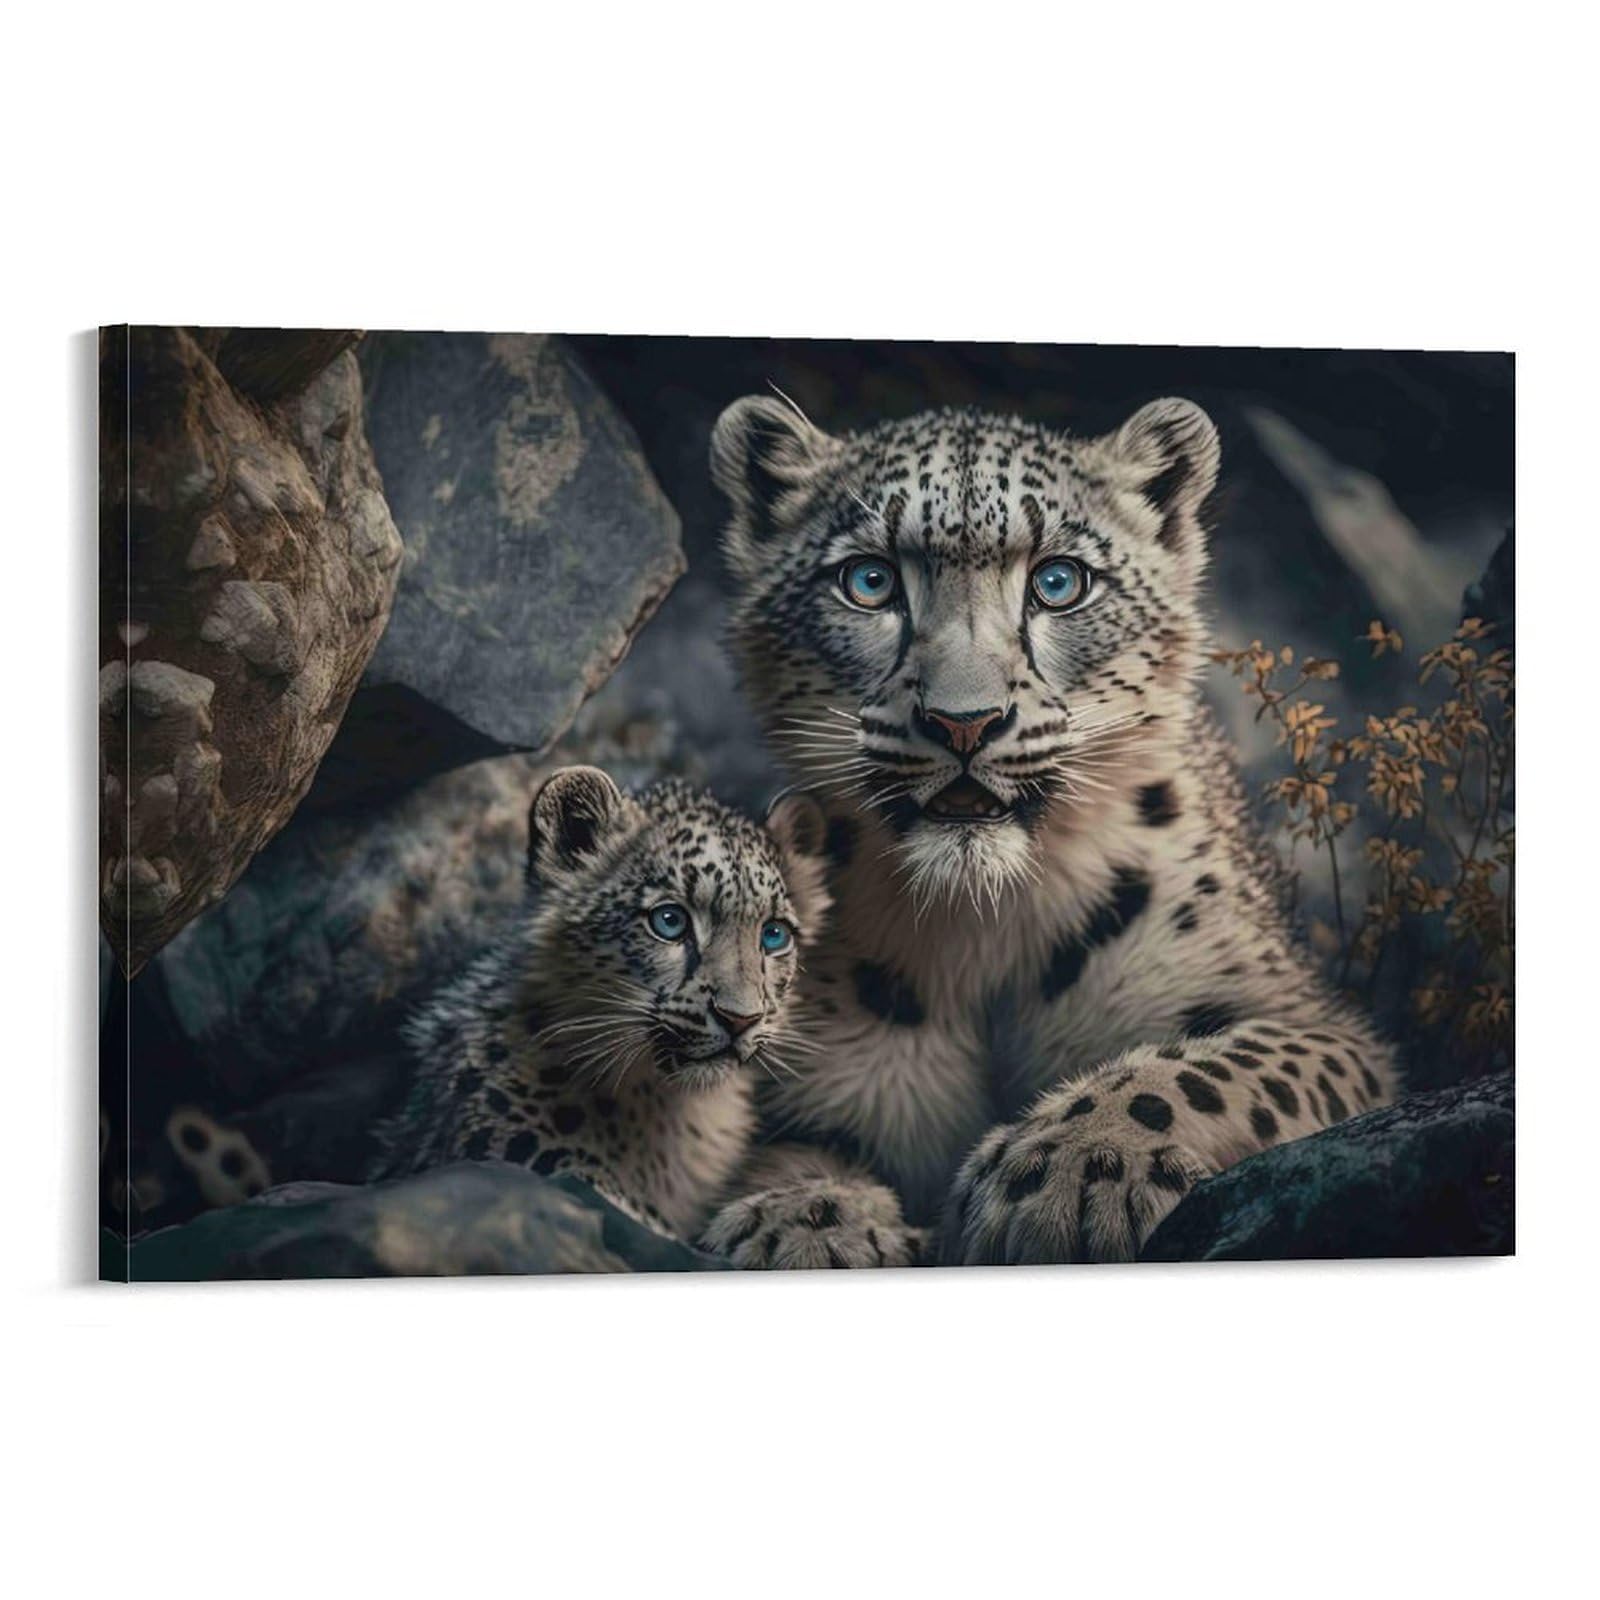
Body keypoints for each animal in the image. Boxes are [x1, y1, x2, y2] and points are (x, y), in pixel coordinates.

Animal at [697, 391, 1399, 1268]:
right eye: (869, 580)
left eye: (1060, 582)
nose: (964, 722)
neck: (983, 928)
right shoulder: (813, 1081)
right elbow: (788, 1150)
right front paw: (802, 1222)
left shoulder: (1308, 1020)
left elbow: (1209, 1065)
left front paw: (1073, 1166)